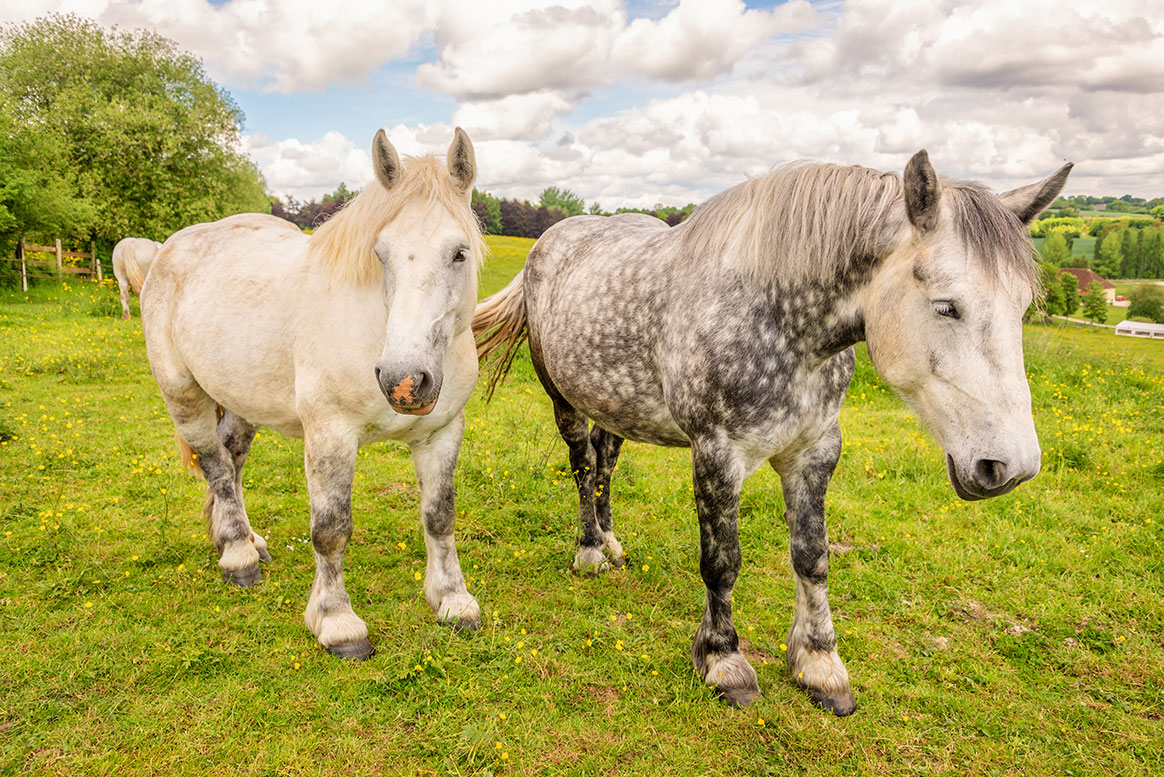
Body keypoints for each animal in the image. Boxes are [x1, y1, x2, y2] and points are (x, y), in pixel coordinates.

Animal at [142, 129, 486, 660]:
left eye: (459, 253)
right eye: (380, 253)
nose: (404, 381)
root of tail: (171, 246)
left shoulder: (442, 432)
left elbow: (439, 517)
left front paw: (453, 600)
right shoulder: (329, 435)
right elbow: (330, 531)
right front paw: (337, 623)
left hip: (242, 400)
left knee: (231, 462)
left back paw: (244, 540)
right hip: (183, 395)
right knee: (215, 466)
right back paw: (239, 556)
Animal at [474, 148, 1070, 711]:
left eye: (1022, 306)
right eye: (947, 306)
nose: (1011, 467)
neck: (780, 318)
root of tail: (552, 239)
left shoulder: (815, 452)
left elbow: (813, 556)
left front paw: (820, 665)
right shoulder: (717, 455)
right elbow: (722, 562)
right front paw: (724, 662)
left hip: (615, 402)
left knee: (605, 458)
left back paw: (611, 539)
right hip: (563, 398)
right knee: (581, 463)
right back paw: (590, 550)